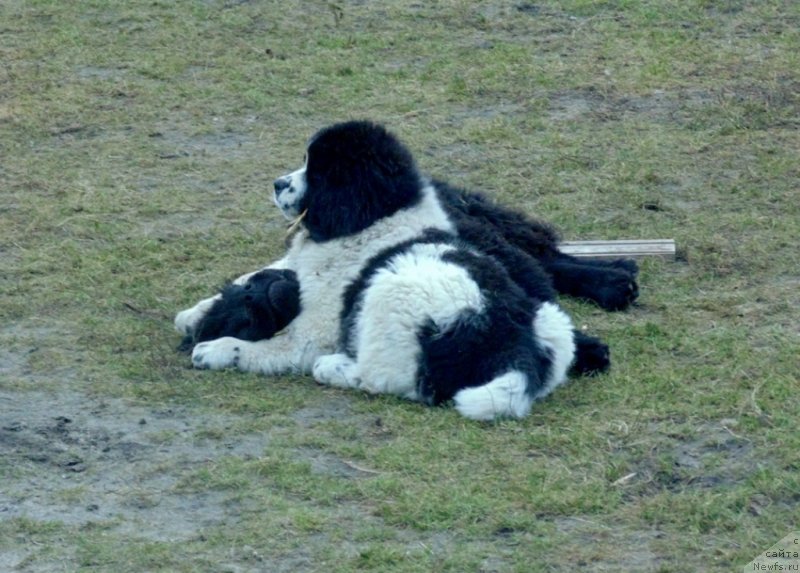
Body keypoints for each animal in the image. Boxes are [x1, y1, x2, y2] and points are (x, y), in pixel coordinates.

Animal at [178, 119, 636, 420]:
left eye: (317, 172)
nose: (277, 184)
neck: (378, 219)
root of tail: (512, 342)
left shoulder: (315, 327)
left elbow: (276, 345)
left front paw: (218, 348)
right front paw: (199, 313)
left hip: (389, 295)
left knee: (391, 378)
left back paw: (336, 368)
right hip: (551, 322)